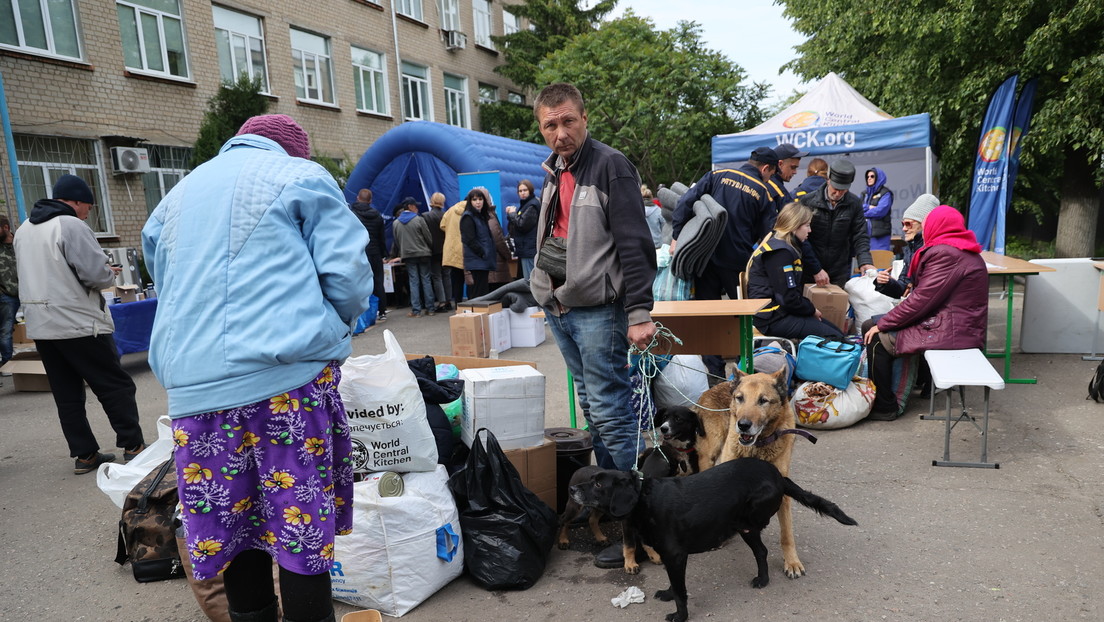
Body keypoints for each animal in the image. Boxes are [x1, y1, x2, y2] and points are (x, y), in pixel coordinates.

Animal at [574, 457, 856, 622]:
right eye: (592, 480)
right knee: (762, 552)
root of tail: (778, 475)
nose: (572, 488)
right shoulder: (670, 558)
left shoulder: (676, 556)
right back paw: (763, 579)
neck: (644, 498)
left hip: (748, 522)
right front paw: (667, 594)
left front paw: (680, 616)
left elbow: (681, 592)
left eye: (599, 485)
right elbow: (673, 585)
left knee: (760, 539)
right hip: (746, 530)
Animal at [693, 364, 816, 578]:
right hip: (709, 456)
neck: (758, 446)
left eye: (763, 401)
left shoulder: (783, 491)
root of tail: (717, 385)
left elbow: (787, 534)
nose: (743, 425)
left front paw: (791, 562)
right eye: (740, 398)